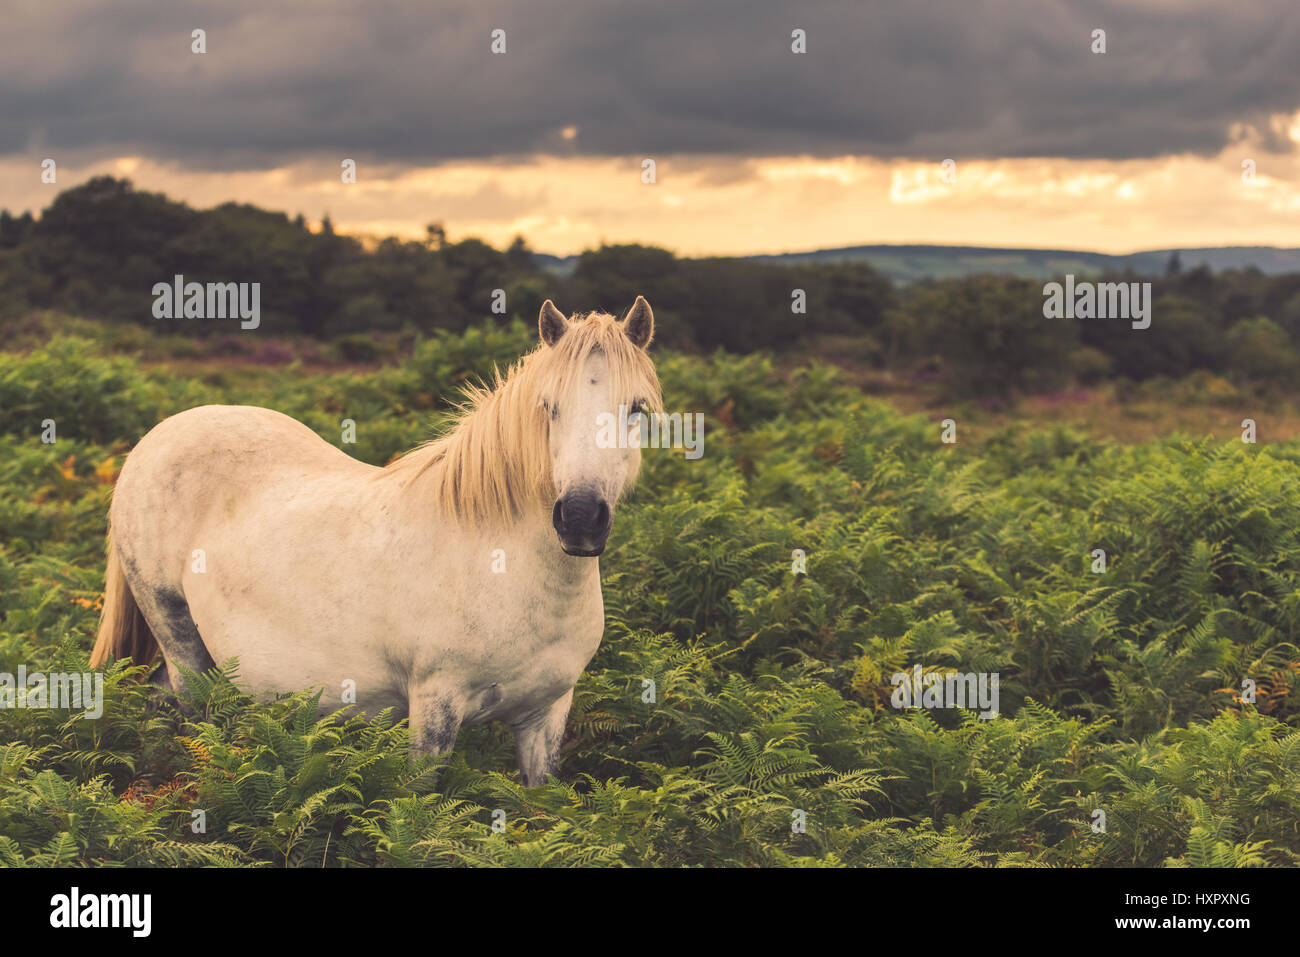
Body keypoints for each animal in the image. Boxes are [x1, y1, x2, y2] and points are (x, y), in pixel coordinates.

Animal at [91, 297, 660, 786]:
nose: (580, 519)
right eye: (549, 407)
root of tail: (155, 437)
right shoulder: (434, 708)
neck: (508, 569)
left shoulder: (546, 717)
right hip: (177, 632)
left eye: (637, 409)